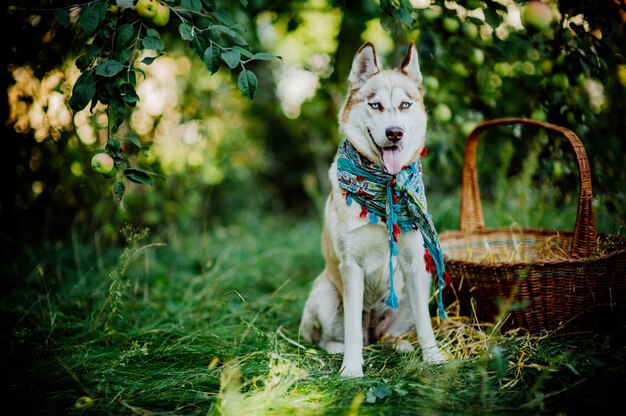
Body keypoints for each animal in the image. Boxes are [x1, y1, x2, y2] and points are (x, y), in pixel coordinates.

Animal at [298, 42, 444, 376]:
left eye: (405, 105)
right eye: (375, 105)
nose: (394, 133)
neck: (386, 187)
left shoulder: (414, 262)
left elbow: (426, 324)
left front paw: (433, 357)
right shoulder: (352, 266)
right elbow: (352, 329)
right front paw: (352, 369)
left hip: (419, 285)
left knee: (389, 334)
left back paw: (400, 345)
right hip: (326, 293)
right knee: (330, 336)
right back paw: (338, 349)